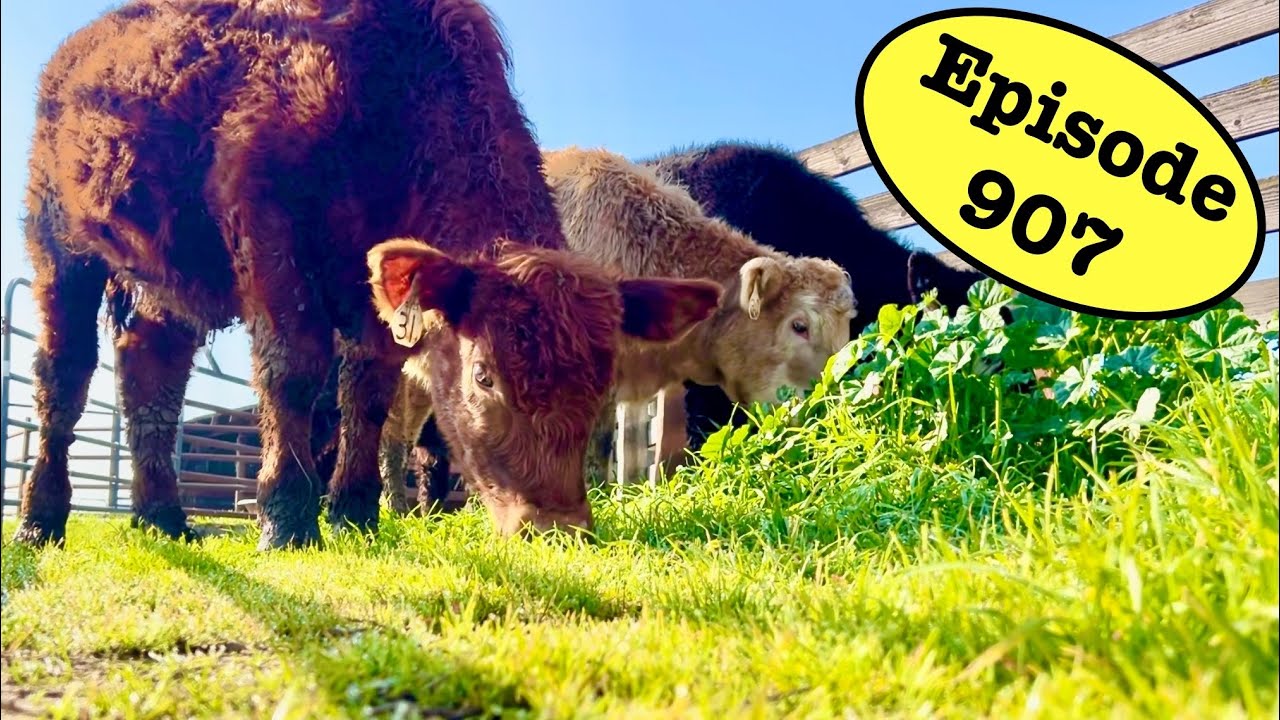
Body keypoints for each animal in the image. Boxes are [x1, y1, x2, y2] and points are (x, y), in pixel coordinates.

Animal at [13, 0, 718, 549]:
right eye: (484, 376)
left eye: (599, 390)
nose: (557, 528)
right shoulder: (267, 228)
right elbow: (294, 367)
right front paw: (287, 518)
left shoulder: (374, 295)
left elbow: (369, 389)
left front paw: (354, 515)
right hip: (57, 240)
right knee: (64, 372)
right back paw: (40, 519)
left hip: (170, 279)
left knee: (150, 368)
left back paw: (162, 517)